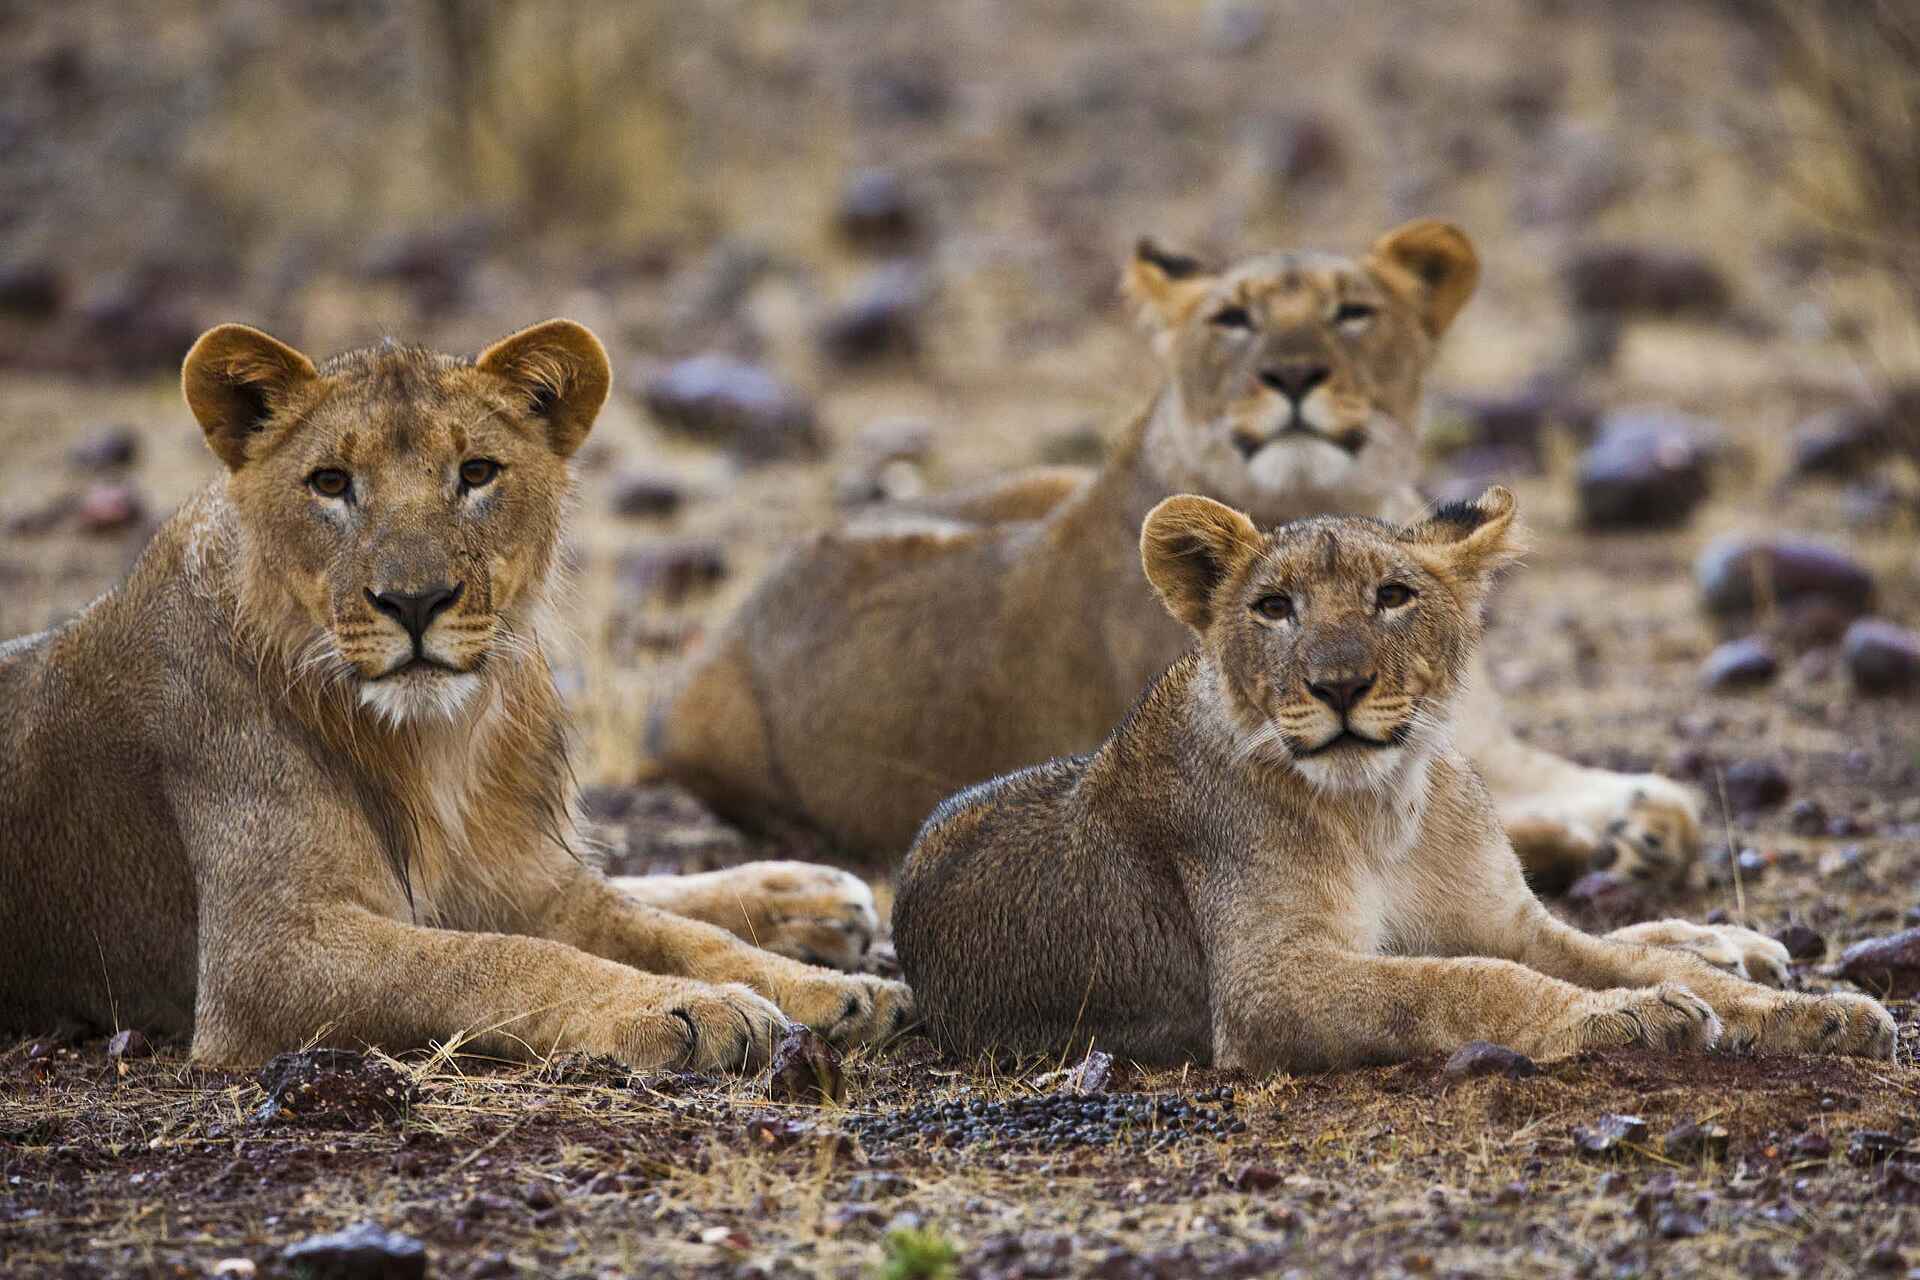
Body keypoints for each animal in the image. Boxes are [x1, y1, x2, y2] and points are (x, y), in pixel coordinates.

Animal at [0, 319, 909, 1070]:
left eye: (476, 472)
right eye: (329, 482)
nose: (415, 601)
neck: (431, 744)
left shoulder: (531, 885)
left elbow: (673, 933)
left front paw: (831, 993)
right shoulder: (263, 959)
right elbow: (495, 960)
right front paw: (693, 1010)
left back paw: (811, 901)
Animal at [650, 220, 1700, 889]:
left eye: (1353, 312)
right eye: (1231, 319)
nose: (1291, 373)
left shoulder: (1470, 734)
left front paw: (1641, 813)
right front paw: (1599, 841)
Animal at [892, 488, 1892, 1069]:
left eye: (1394, 596)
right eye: (1274, 607)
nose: (1338, 685)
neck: (1380, 805)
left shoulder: (1507, 920)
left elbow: (1618, 955)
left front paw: (1815, 1014)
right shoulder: (1265, 988)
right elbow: (1461, 982)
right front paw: (1634, 1016)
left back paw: (1736, 944)